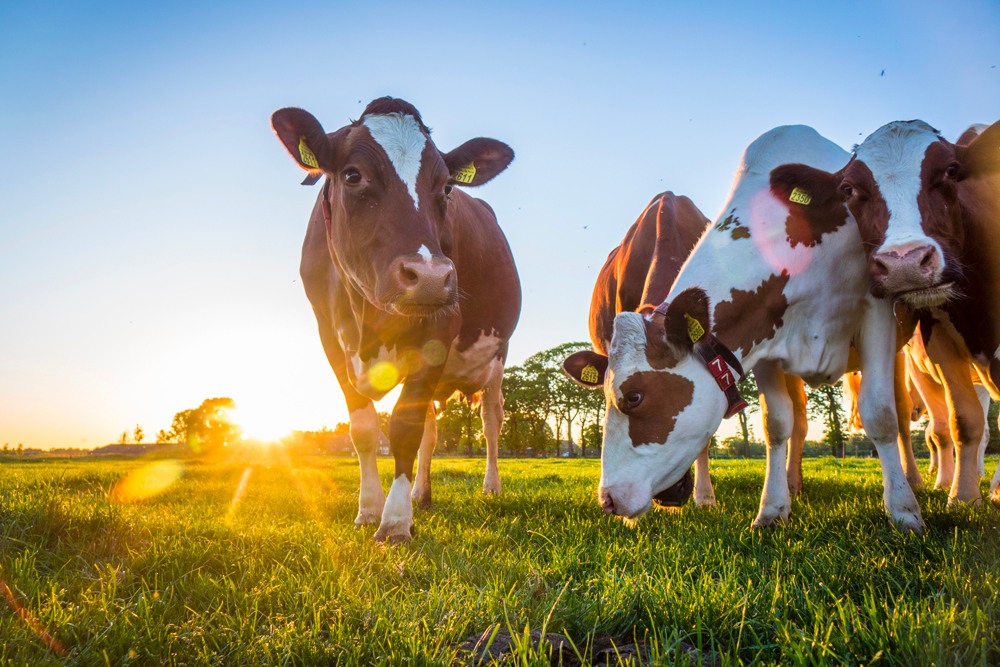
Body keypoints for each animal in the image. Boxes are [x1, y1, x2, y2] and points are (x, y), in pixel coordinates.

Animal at [271, 98, 520, 543]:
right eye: (353, 175)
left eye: (448, 187)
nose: (431, 277)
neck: (368, 317)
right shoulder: (329, 339)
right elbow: (364, 429)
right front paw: (369, 509)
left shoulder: (440, 330)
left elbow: (404, 426)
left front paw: (395, 522)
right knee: (432, 431)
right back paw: (422, 494)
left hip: (497, 356)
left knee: (491, 422)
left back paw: (490, 488)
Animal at [772, 120, 1000, 506]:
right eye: (848, 189)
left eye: (951, 170)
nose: (904, 263)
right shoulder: (939, 341)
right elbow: (963, 422)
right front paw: (963, 497)